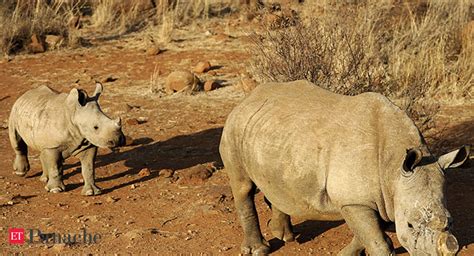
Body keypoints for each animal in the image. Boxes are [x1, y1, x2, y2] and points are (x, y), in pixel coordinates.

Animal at [219, 80, 470, 256]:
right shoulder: (355, 200)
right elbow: (375, 239)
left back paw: (286, 237)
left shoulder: (381, 196)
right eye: (410, 225)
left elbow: (367, 233)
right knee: (243, 187)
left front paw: (345, 253)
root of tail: (248, 98)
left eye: (451, 222)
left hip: (273, 134)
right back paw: (259, 249)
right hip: (234, 127)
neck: (393, 166)